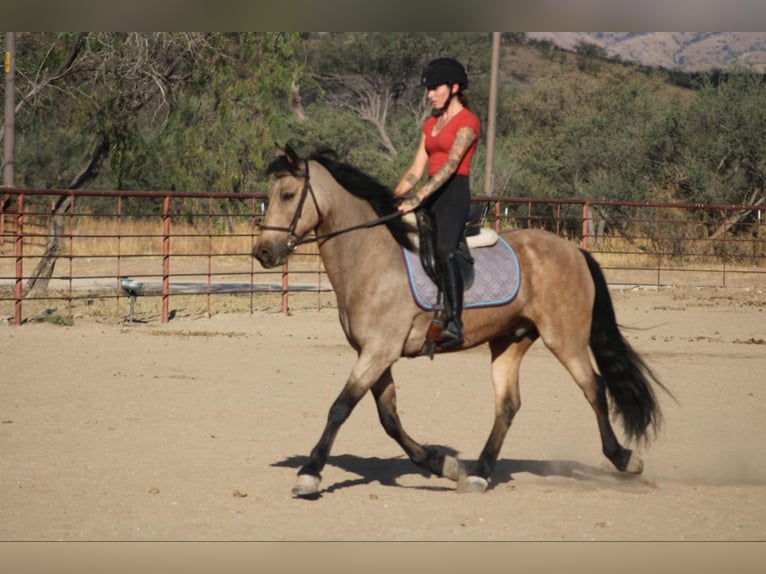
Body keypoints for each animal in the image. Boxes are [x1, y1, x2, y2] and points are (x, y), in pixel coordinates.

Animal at [254, 145, 672, 500]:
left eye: (288, 195)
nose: (262, 253)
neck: (371, 256)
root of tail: (574, 251)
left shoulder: (378, 352)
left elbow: (340, 407)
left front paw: (310, 473)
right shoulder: (376, 354)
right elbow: (389, 418)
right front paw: (446, 465)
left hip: (565, 339)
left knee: (594, 388)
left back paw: (624, 458)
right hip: (509, 340)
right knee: (508, 404)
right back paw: (479, 474)